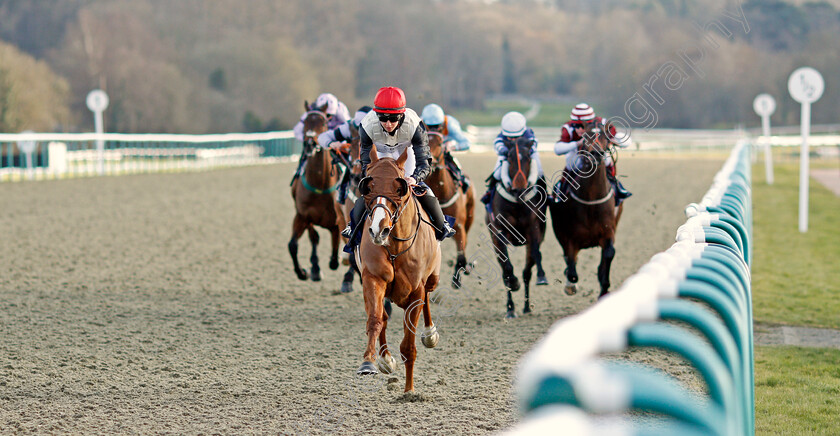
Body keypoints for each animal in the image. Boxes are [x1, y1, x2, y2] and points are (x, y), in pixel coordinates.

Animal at [288, 104, 342, 282]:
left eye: (323, 122)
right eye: (305, 121)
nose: (310, 143)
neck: (320, 185)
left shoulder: (338, 220)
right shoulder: (302, 216)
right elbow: (293, 245)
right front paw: (302, 272)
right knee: (314, 237)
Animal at [354, 146, 442, 392]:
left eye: (399, 187)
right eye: (368, 186)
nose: (378, 229)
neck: (394, 246)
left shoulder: (416, 289)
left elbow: (408, 345)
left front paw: (409, 391)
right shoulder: (372, 278)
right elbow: (375, 319)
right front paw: (370, 362)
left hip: (432, 278)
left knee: (428, 295)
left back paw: (430, 333)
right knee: (382, 316)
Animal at [486, 138, 552, 318]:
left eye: (528, 157)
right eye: (509, 157)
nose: (519, 188)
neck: (517, 201)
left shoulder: (533, 228)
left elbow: (536, 253)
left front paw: (542, 276)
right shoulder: (499, 231)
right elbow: (508, 269)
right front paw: (514, 283)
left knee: (527, 272)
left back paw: (527, 307)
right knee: (505, 272)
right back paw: (510, 308)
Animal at [544, 121, 624, 298]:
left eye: (605, 135)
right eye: (585, 135)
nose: (596, 153)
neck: (591, 201)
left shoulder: (609, 231)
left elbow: (609, 254)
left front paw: (604, 288)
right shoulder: (570, 237)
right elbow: (572, 267)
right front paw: (570, 286)